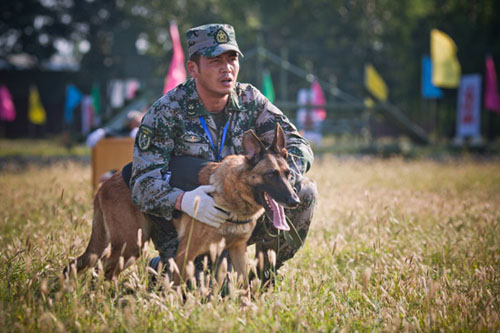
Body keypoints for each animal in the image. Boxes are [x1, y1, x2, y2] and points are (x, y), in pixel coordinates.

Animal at [66, 123, 300, 284]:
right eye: (270, 175)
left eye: (288, 174)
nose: (294, 201)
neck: (231, 192)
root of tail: (105, 183)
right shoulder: (186, 253)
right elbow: (177, 288)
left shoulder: (237, 250)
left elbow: (244, 287)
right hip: (130, 245)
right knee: (101, 269)